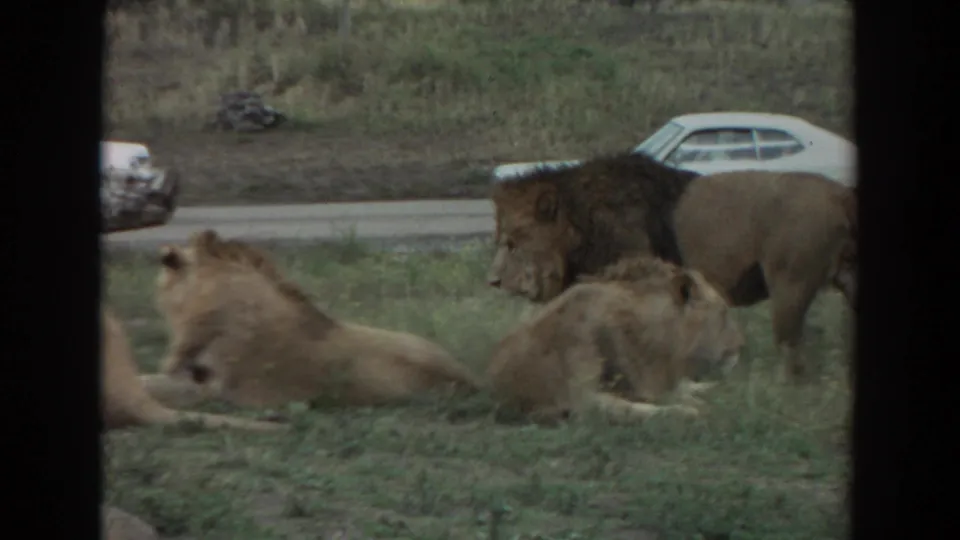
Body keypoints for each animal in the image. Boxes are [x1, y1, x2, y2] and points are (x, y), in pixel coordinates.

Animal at [488, 152, 856, 382]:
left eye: (512, 242)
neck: (582, 223)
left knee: (791, 348)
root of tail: (842, 195)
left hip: (790, 286)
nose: (492, 281)